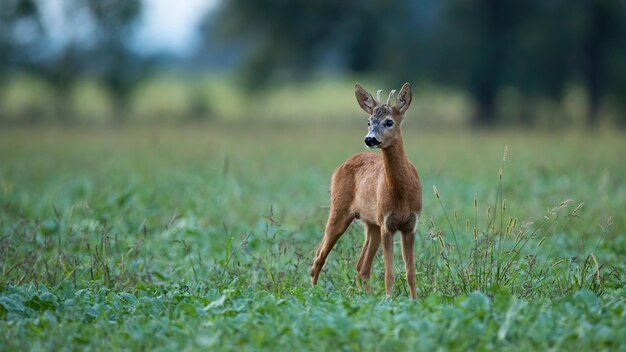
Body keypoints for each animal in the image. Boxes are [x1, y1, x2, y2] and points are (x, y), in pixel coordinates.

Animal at [310, 83, 422, 300]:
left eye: (389, 121)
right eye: (368, 122)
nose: (370, 139)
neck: (402, 195)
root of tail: (341, 165)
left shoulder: (410, 225)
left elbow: (410, 272)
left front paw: (414, 301)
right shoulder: (387, 224)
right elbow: (389, 273)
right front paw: (389, 300)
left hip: (371, 224)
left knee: (361, 266)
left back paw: (367, 298)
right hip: (340, 210)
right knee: (319, 256)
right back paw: (312, 294)